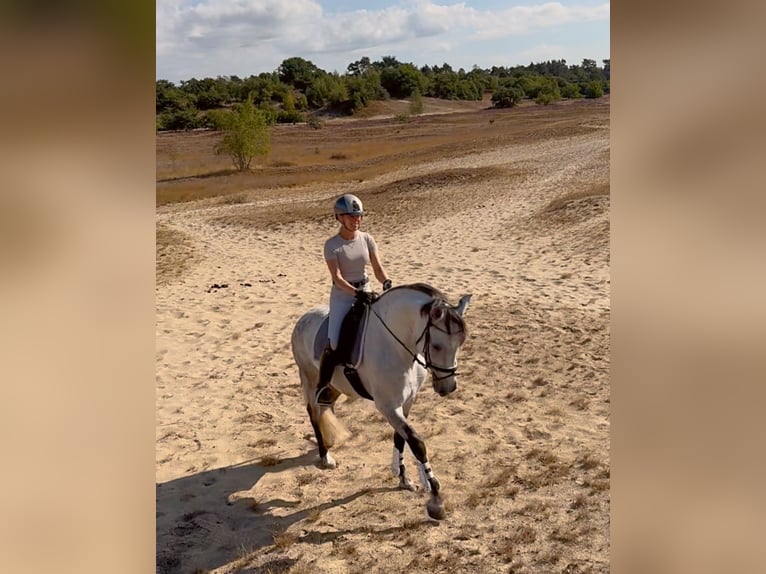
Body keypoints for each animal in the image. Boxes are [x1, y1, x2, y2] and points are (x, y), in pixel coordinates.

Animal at [290, 283, 472, 520]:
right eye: (437, 346)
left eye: (460, 343)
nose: (448, 388)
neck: (396, 346)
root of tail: (303, 318)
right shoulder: (387, 407)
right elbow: (417, 443)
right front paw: (435, 499)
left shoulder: (406, 402)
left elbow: (400, 439)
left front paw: (404, 479)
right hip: (310, 380)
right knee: (314, 413)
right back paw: (325, 456)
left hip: (335, 386)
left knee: (325, 408)